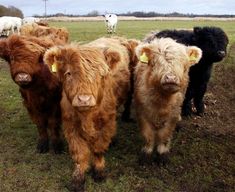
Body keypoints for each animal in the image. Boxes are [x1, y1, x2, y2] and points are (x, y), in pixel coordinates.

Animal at [43, 36, 132, 191]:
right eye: (69, 73)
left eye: (101, 74)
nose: (84, 99)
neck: (87, 117)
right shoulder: (70, 126)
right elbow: (80, 154)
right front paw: (78, 179)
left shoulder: (106, 124)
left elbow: (98, 149)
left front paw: (99, 172)